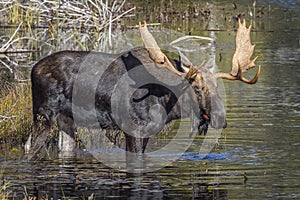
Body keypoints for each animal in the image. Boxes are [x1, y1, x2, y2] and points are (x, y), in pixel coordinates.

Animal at [25, 19, 260, 159]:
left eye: (218, 88)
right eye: (198, 87)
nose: (222, 119)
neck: (168, 104)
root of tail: (33, 69)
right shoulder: (133, 128)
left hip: (66, 118)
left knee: (64, 148)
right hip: (44, 113)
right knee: (29, 146)